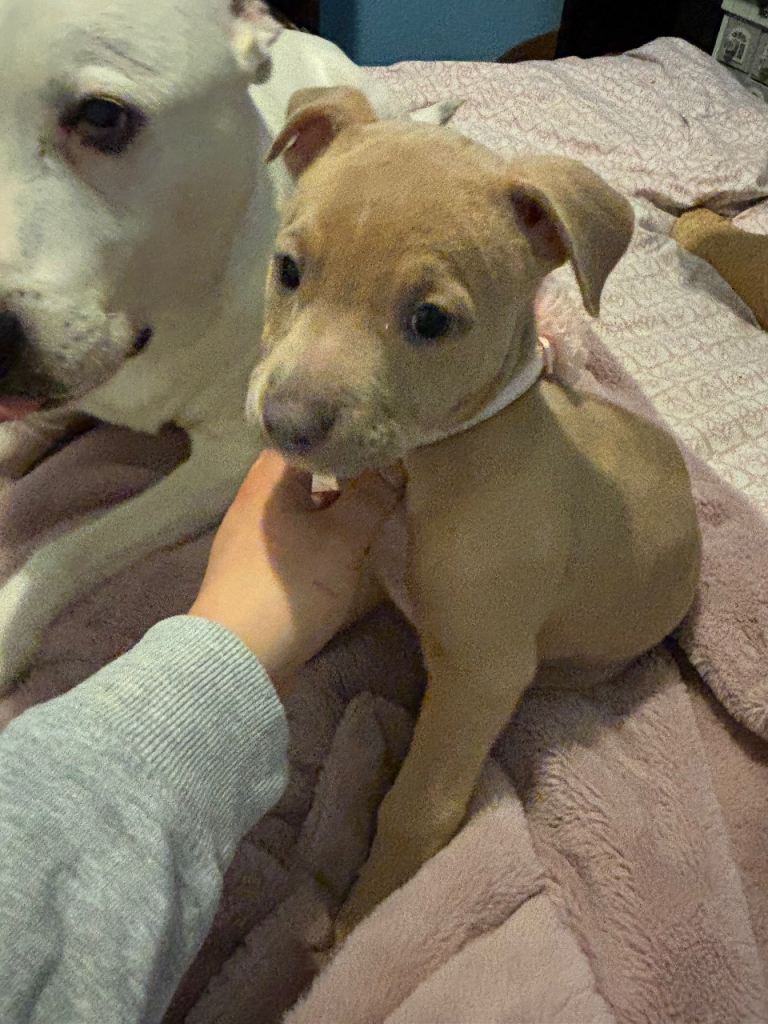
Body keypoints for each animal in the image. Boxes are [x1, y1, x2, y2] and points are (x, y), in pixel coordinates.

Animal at [248, 86, 702, 933]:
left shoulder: (482, 675)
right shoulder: (375, 572)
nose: (286, 425)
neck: (435, 462)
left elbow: (417, 810)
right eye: (288, 270)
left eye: (430, 320)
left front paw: (366, 920)